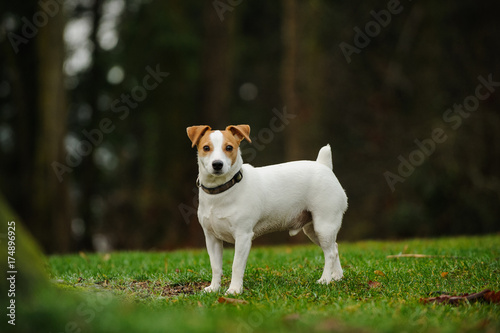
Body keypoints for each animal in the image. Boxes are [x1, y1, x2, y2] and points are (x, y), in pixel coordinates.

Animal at [188, 124, 348, 294]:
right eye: (206, 148)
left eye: (229, 147)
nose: (217, 164)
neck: (223, 190)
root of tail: (324, 166)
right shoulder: (212, 238)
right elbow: (216, 266)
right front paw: (214, 288)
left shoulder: (243, 236)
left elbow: (236, 266)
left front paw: (235, 290)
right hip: (313, 230)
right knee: (334, 247)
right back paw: (337, 276)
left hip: (324, 225)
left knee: (330, 253)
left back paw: (325, 279)